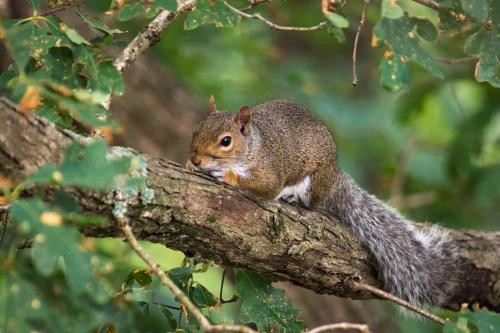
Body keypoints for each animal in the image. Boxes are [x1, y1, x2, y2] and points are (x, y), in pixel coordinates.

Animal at [188, 96, 458, 306]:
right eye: (195, 130)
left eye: (226, 141)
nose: (197, 160)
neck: (253, 146)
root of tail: (335, 175)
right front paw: (190, 166)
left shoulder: (270, 170)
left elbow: (266, 187)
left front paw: (227, 175)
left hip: (314, 182)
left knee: (309, 202)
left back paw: (291, 197)